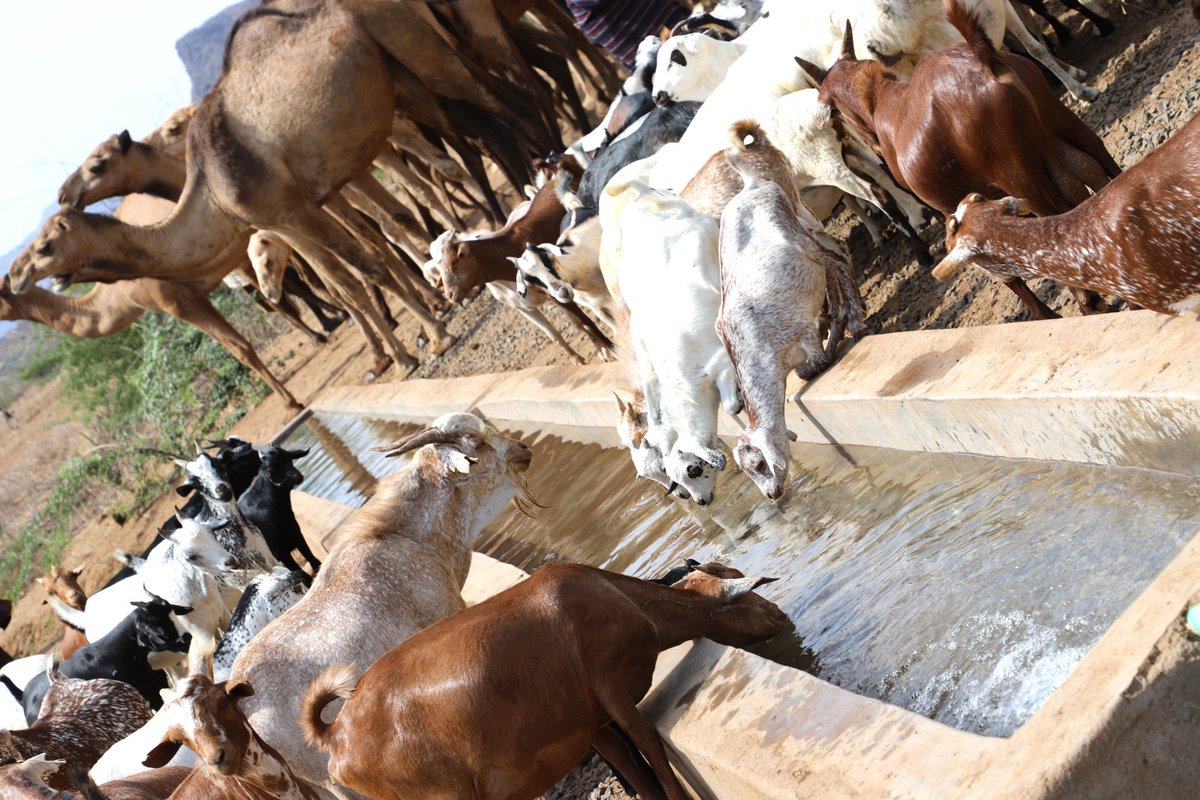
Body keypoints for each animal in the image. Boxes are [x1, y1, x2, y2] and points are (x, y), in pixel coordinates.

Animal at [300, 563, 787, 800]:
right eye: (750, 597)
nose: (782, 616)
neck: (621, 599)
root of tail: (336, 733)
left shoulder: (588, 721)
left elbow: (631, 765)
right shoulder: (608, 682)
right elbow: (649, 743)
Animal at [720, 121, 864, 496]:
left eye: (758, 463)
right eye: (748, 472)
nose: (772, 495)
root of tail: (752, 184)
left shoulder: (798, 330)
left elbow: (812, 365)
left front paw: (834, 339)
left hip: (798, 236)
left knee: (837, 258)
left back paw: (855, 319)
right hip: (805, 229)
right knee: (837, 253)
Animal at [796, 0, 1123, 319]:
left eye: (835, 113)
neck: (885, 105)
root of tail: (983, 58)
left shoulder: (947, 207)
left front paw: (1046, 314)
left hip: (1019, 175)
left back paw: (1089, 302)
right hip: (1069, 128)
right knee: (1108, 175)